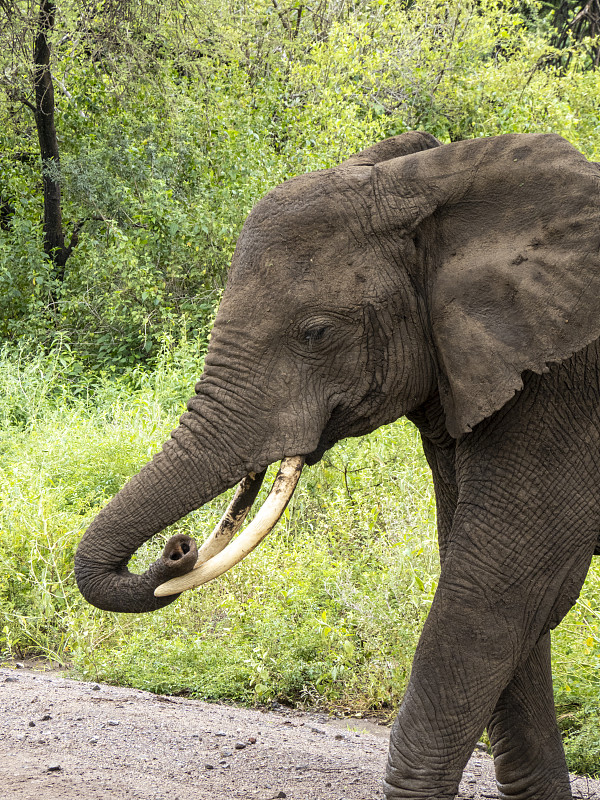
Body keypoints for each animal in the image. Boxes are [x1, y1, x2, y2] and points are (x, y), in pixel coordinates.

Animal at [75, 133, 600, 800]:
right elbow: (505, 590)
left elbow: (493, 589)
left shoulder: (564, 389)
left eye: (317, 333)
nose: (179, 548)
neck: (439, 180)